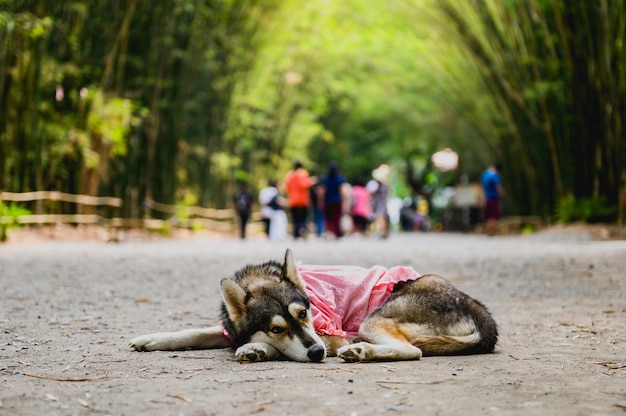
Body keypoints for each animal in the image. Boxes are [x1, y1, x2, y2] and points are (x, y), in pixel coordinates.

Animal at [129, 249, 494, 362]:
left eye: (304, 313)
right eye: (276, 328)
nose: (319, 354)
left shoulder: (329, 335)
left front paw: (258, 350)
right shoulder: (228, 328)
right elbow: (191, 332)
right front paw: (151, 339)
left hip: (371, 322)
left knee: (412, 351)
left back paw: (362, 351)